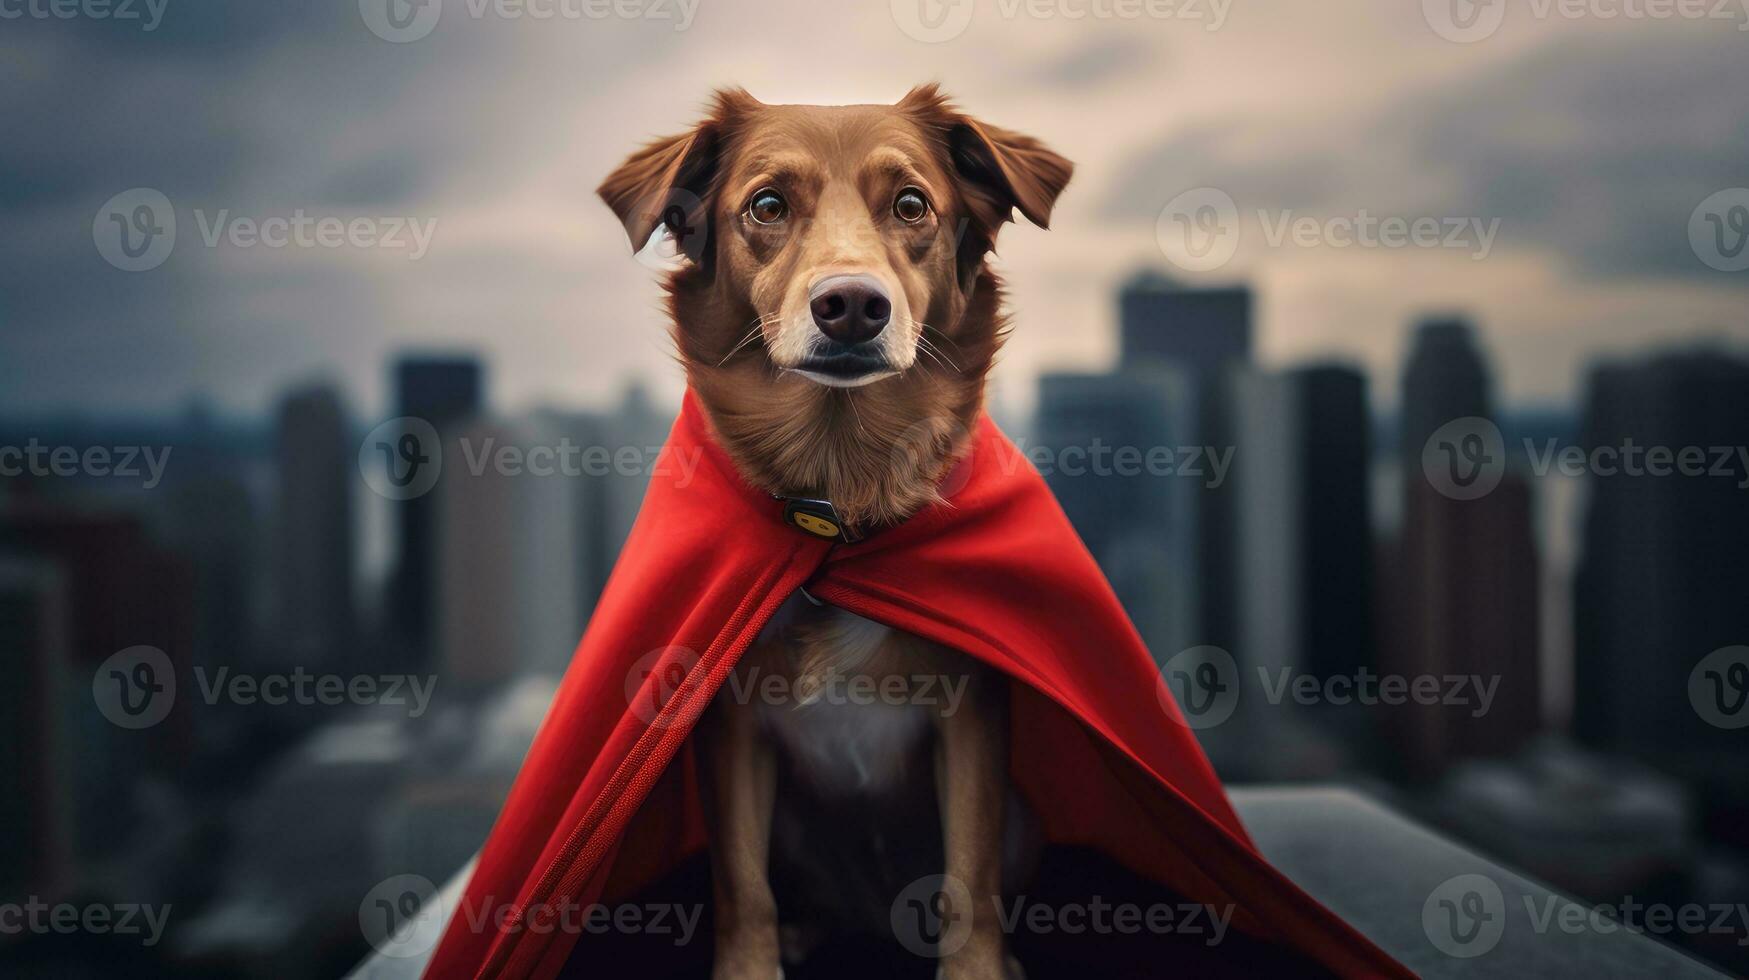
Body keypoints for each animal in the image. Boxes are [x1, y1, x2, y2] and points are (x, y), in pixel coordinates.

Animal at [598, 84, 1063, 980]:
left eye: (912, 204)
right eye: (767, 205)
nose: (851, 305)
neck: (836, 509)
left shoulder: (972, 717)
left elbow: (969, 878)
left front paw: (980, 969)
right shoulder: (730, 726)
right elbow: (742, 887)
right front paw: (750, 965)